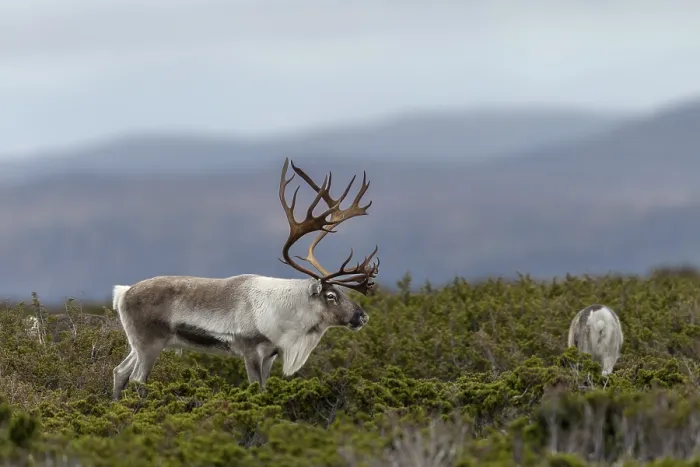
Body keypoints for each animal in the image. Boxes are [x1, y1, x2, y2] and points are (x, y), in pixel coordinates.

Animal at [110, 158, 380, 400]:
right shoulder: (251, 351)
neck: (286, 312)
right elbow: (255, 389)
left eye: (344, 292)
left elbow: (265, 388)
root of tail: (123, 293)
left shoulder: (270, 355)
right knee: (137, 379)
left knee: (119, 371)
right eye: (331, 296)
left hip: (138, 344)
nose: (362, 317)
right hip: (149, 344)